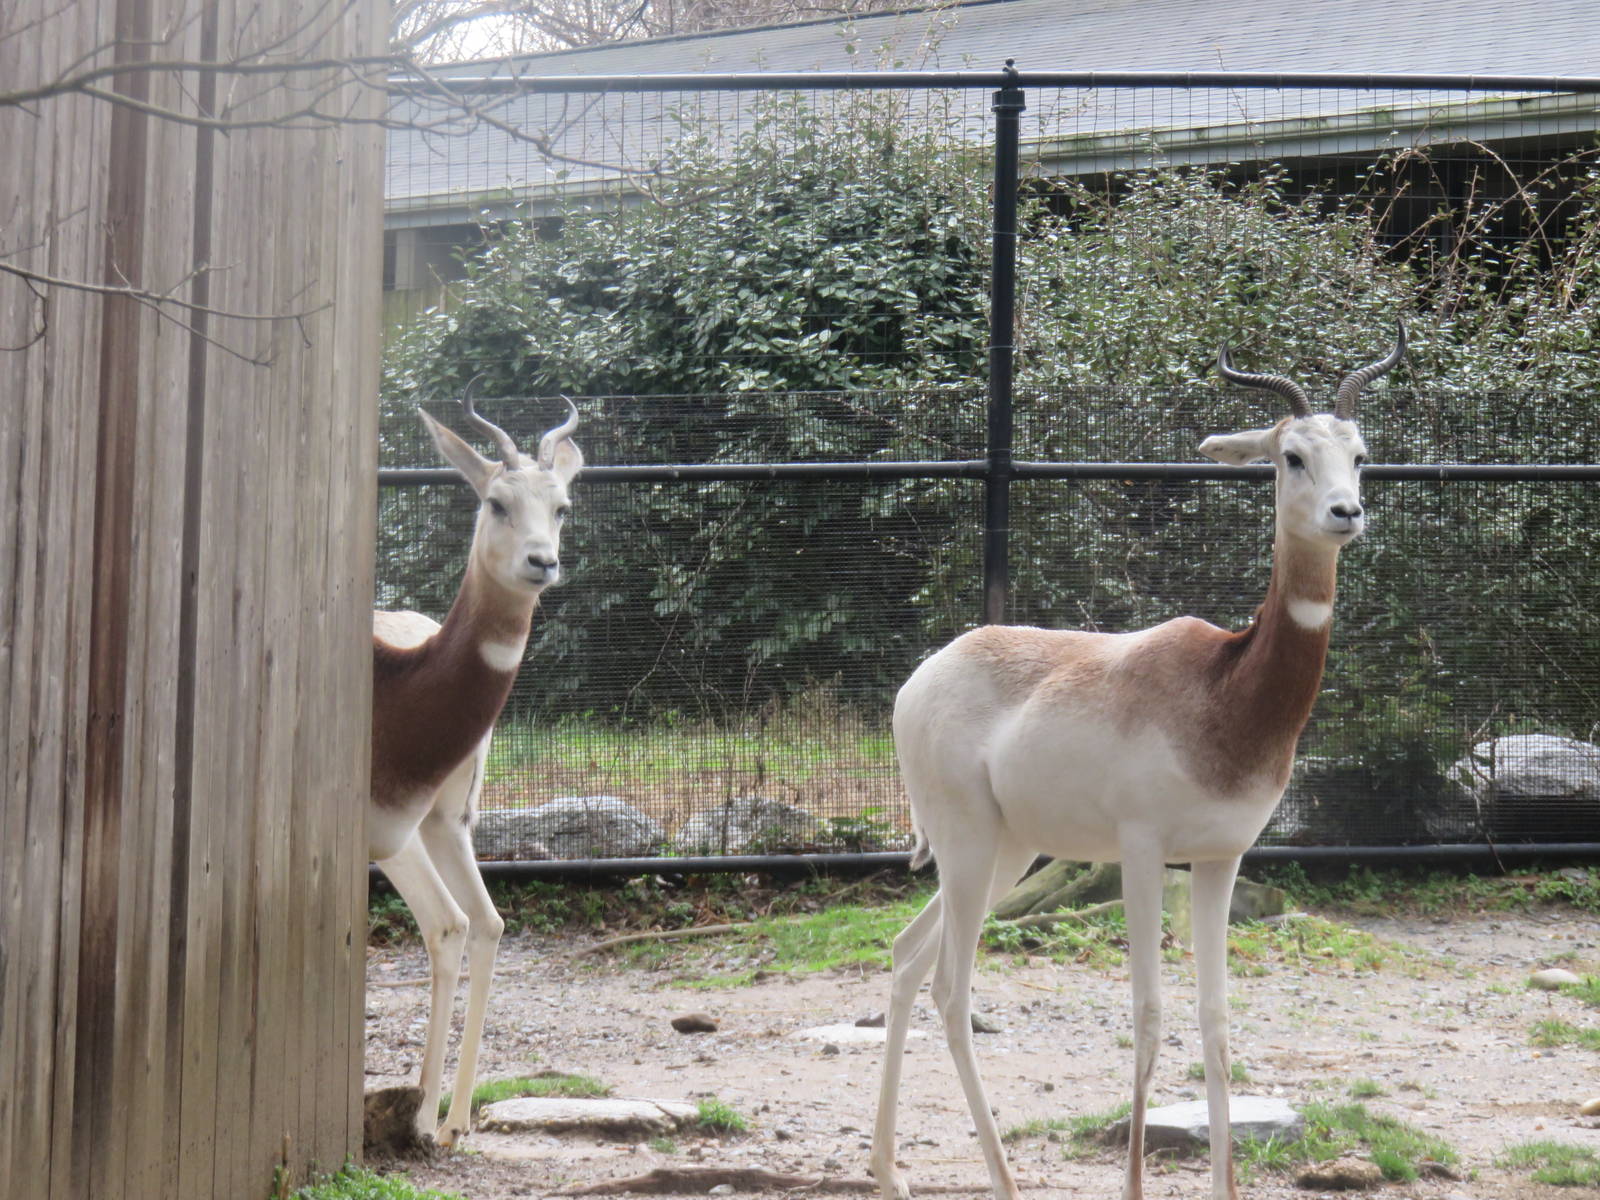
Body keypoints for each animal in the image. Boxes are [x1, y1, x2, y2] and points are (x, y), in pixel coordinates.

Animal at [371, 390, 581, 1147]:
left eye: (562, 506)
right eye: (496, 502)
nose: (542, 562)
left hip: (427, 832)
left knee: (457, 924)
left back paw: (435, 1117)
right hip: (441, 829)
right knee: (479, 923)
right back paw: (449, 1116)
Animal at [870, 327, 1405, 1200]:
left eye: (1359, 456)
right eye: (1290, 455)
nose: (1345, 514)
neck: (1225, 690)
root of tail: (925, 674)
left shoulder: (1222, 859)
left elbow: (1214, 1020)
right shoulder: (1144, 851)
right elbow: (1149, 1014)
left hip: (1007, 853)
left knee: (907, 956)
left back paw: (888, 1171)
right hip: (968, 847)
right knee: (950, 986)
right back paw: (1002, 1178)